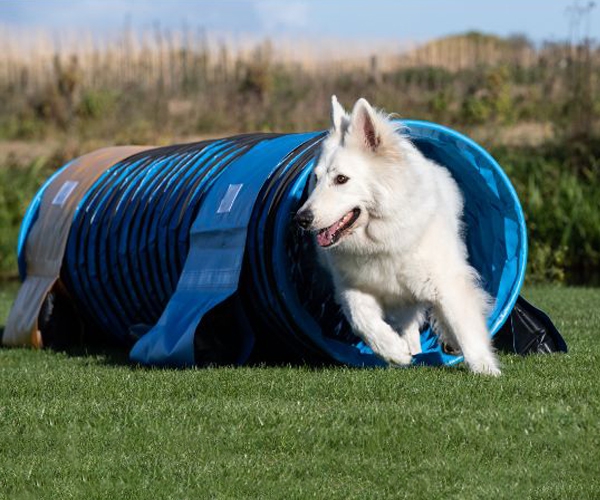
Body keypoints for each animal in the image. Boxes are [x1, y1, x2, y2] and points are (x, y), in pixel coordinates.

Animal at [295, 96, 500, 375]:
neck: (380, 239)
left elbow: (464, 326)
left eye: (341, 179)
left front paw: (485, 368)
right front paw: (393, 351)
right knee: (408, 325)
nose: (301, 219)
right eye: (315, 179)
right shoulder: (352, 288)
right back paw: (411, 349)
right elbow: (362, 320)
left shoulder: (447, 281)